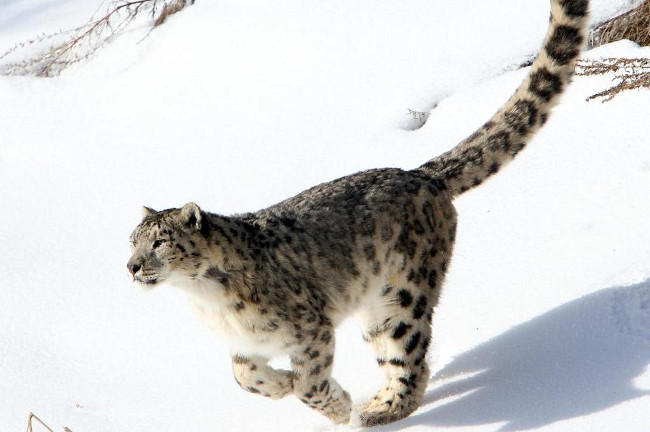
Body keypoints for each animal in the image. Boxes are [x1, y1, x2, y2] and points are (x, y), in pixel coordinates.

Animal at [127, 0, 589, 426]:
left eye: (160, 241)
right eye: (131, 242)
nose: (131, 266)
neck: (205, 298)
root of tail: (419, 175)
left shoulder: (310, 328)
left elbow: (309, 383)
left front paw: (333, 405)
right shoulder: (243, 343)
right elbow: (242, 376)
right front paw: (278, 385)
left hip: (404, 294)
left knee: (410, 357)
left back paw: (378, 410)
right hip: (377, 308)